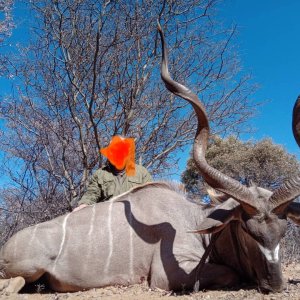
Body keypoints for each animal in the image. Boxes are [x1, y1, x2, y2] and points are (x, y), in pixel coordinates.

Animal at [0, 25, 300, 292]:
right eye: (248, 231)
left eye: (283, 232)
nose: (275, 285)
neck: (196, 219)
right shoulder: (168, 276)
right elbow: (230, 274)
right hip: (26, 269)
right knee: (14, 283)